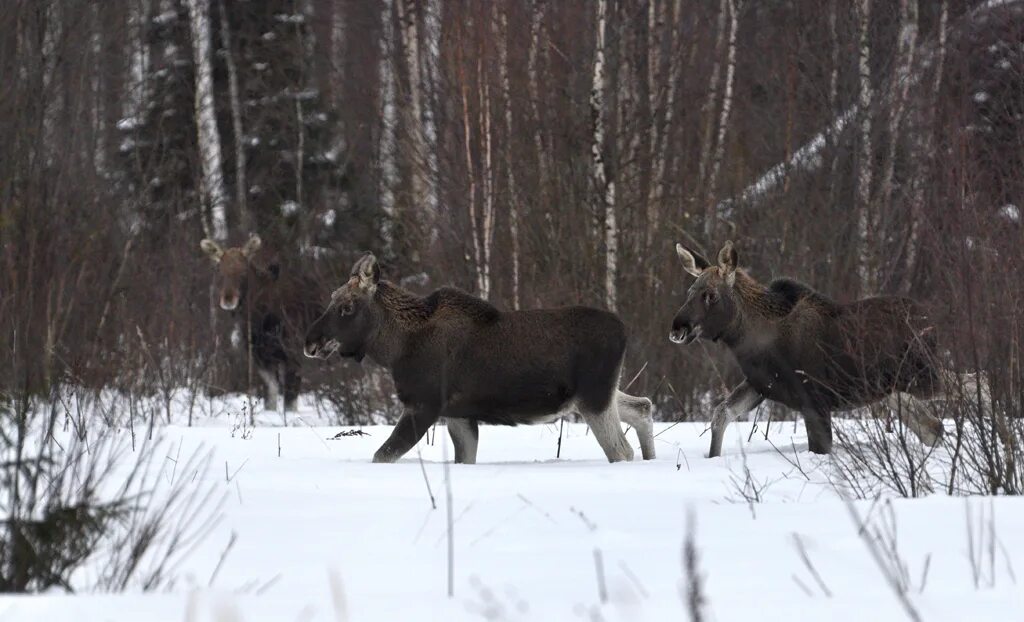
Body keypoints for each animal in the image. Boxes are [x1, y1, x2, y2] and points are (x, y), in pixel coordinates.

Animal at [201, 233, 321, 413]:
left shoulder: (293, 355)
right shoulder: (260, 357)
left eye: (243, 272)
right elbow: (270, 397)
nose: (228, 299)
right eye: (219, 271)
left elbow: (290, 402)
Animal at [303, 252, 655, 463]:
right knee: (643, 406)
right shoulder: (458, 414)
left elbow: (383, 454)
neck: (395, 348)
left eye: (346, 306)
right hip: (598, 395)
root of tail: (625, 331)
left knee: (622, 449)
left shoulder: (423, 404)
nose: (310, 342)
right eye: (332, 299)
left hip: (593, 397)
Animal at [667, 238, 946, 457]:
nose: (678, 329)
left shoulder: (814, 399)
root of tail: (930, 319)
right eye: (690, 292)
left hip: (922, 376)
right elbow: (720, 414)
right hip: (895, 389)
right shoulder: (761, 385)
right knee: (932, 428)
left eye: (711, 295)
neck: (749, 341)